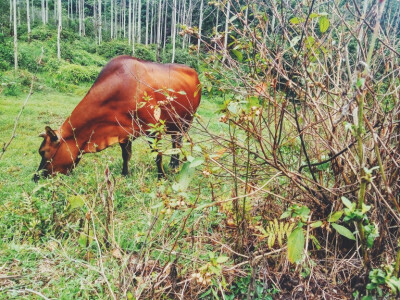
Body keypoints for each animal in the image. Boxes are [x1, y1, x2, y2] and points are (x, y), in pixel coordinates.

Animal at [34, 55, 202, 182]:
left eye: (43, 151)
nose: (35, 177)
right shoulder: (123, 131)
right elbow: (125, 155)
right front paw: (125, 174)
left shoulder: (153, 129)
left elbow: (157, 155)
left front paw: (161, 177)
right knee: (175, 140)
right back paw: (174, 164)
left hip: (187, 120)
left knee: (178, 141)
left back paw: (175, 165)